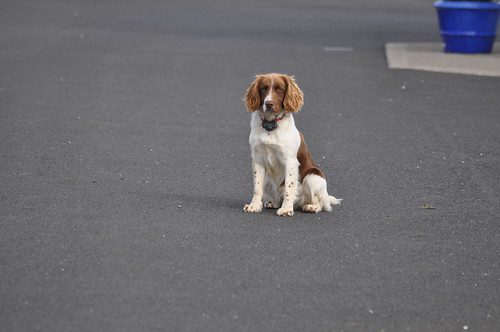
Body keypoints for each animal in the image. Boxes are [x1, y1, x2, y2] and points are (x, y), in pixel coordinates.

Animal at [243, 73, 344, 218]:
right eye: (263, 88)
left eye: (280, 89)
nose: (269, 104)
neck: (270, 126)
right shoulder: (258, 160)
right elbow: (257, 187)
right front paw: (254, 206)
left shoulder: (290, 161)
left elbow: (289, 187)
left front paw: (286, 209)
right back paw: (274, 203)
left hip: (312, 178)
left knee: (321, 203)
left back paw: (311, 207)